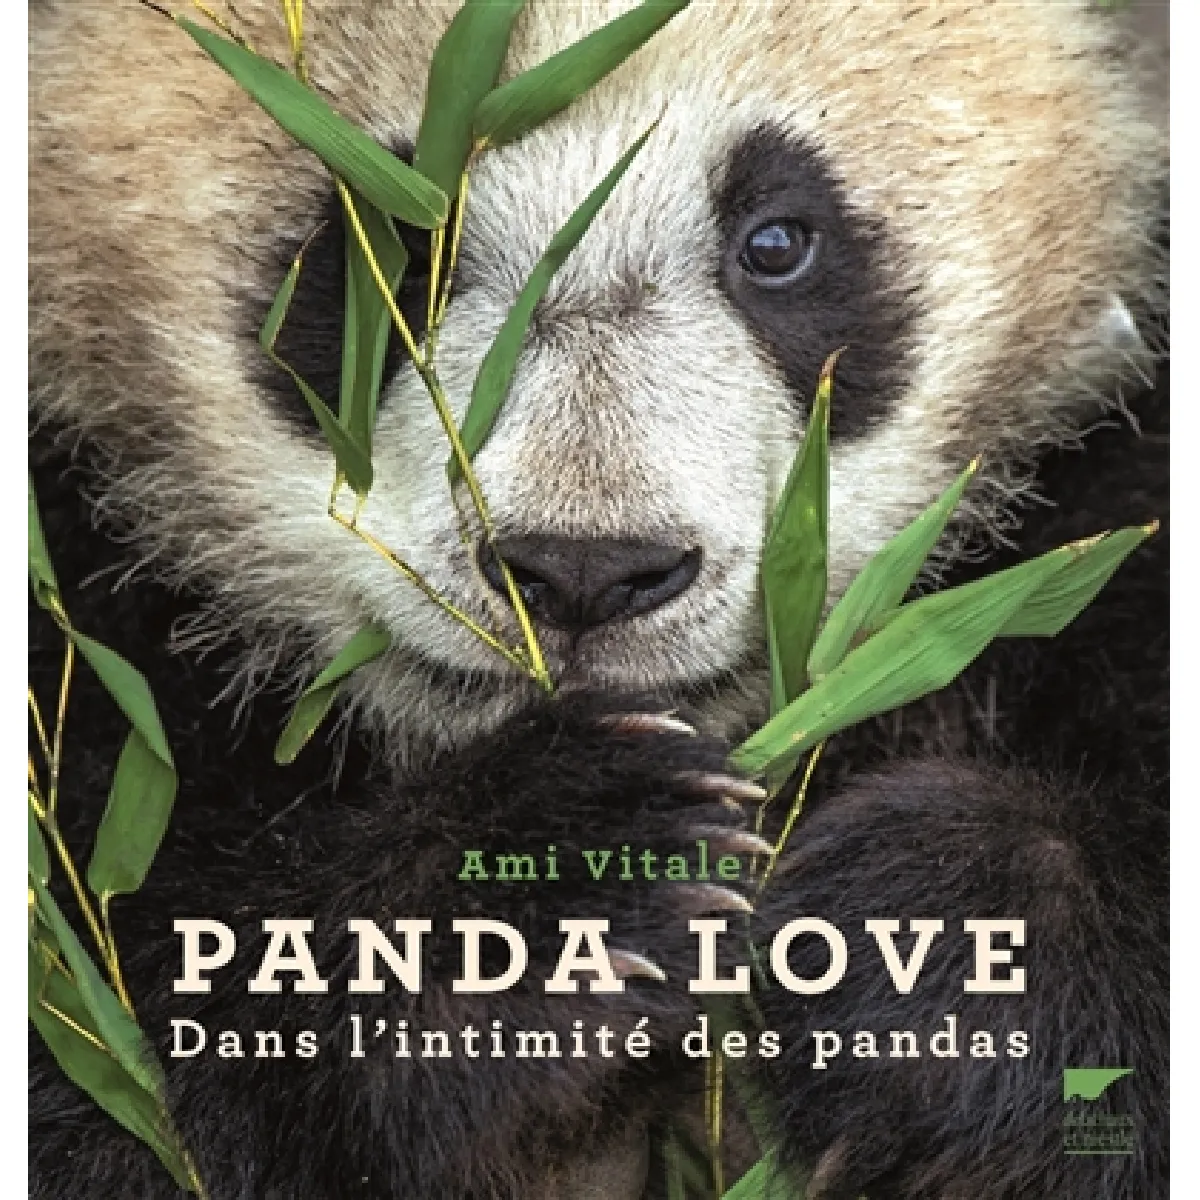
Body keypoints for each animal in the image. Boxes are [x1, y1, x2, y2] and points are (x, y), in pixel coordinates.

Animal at [29, 1, 1168, 1198]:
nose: (584, 571)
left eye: (777, 242)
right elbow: (119, 1059)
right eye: (400, 248)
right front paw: (572, 872)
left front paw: (930, 920)